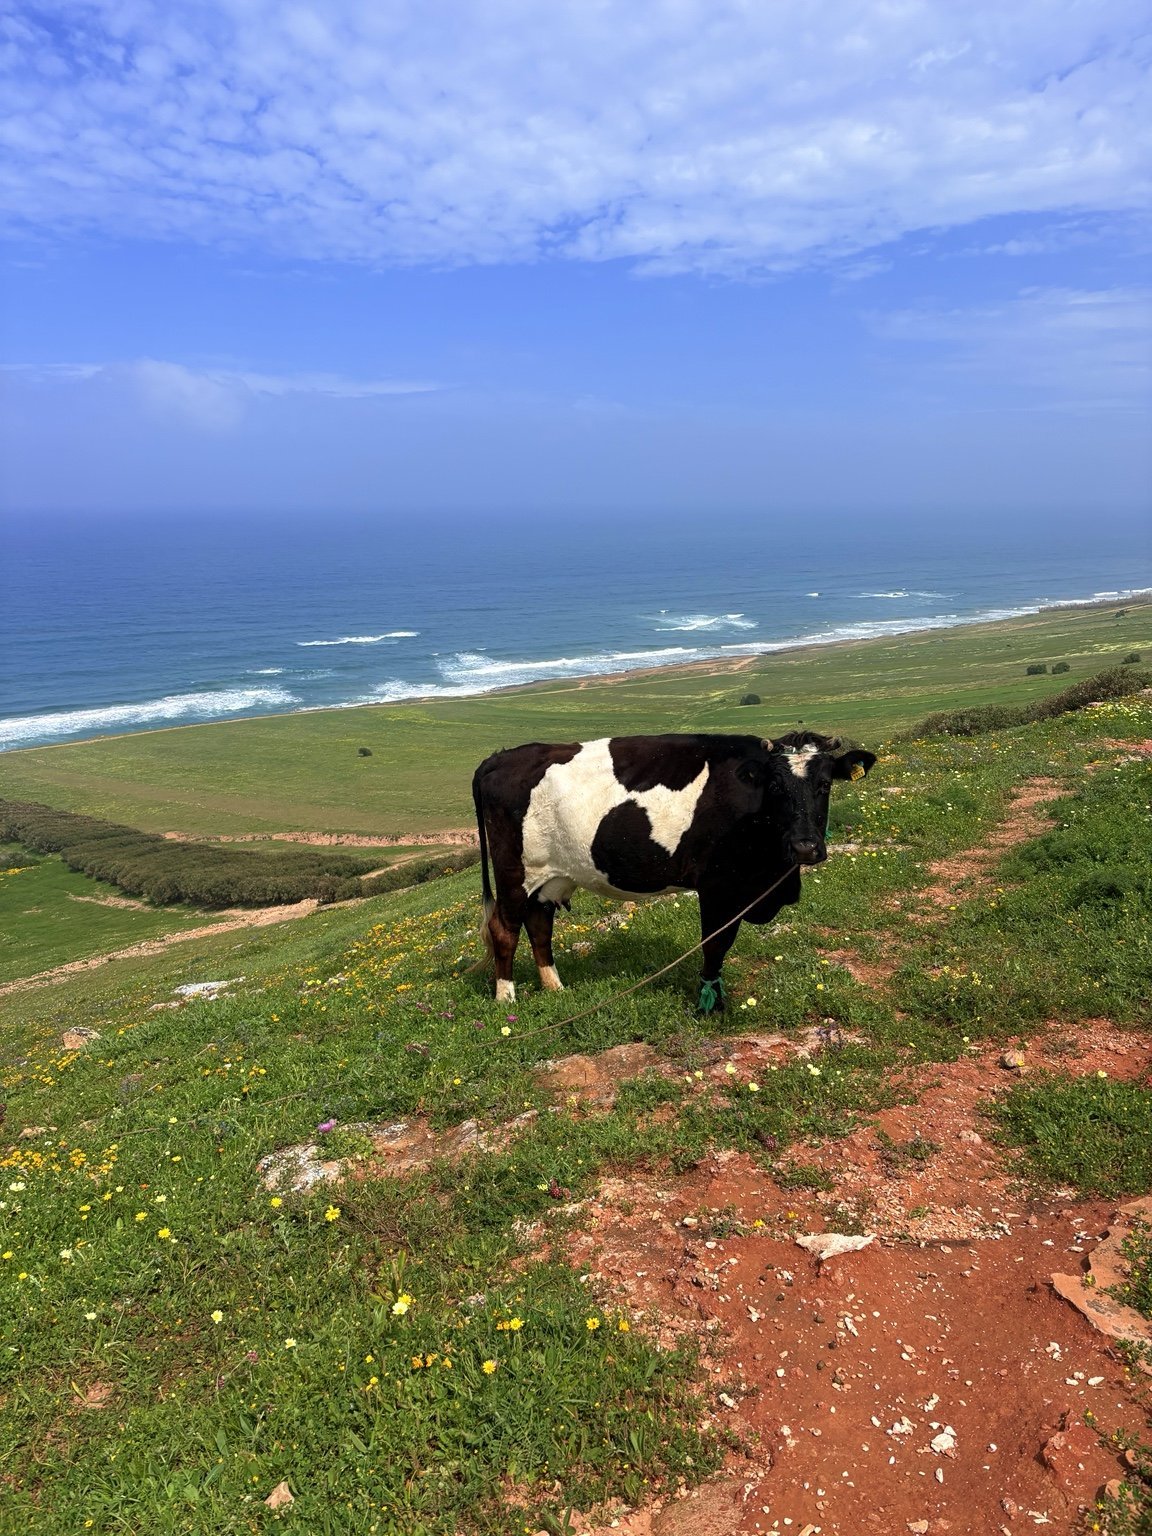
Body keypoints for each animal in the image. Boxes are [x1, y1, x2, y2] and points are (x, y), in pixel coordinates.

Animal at [471, 730, 876, 1012]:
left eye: (825, 785)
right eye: (775, 786)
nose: (805, 848)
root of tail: (499, 758)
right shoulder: (718, 886)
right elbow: (715, 944)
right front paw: (711, 1004)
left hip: (551, 877)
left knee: (539, 924)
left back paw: (555, 988)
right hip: (514, 872)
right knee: (504, 929)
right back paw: (506, 999)